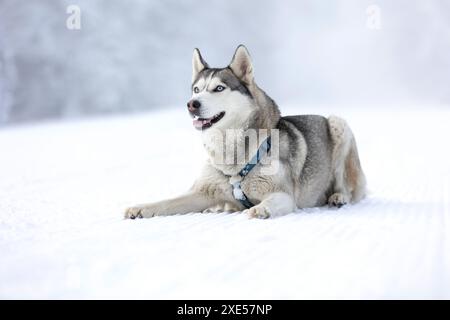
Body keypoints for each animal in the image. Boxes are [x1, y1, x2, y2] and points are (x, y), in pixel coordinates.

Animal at [124, 45, 366, 219]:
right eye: (196, 89)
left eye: (219, 88)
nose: (191, 104)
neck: (231, 156)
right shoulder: (202, 191)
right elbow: (166, 202)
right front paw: (140, 208)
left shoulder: (283, 195)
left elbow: (270, 202)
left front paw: (260, 209)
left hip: (339, 125)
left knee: (348, 187)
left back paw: (338, 197)